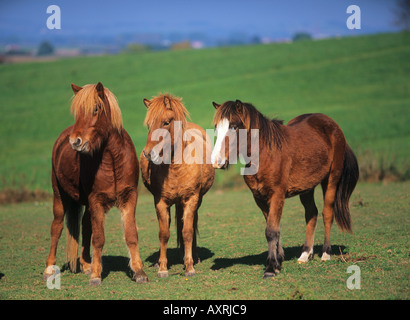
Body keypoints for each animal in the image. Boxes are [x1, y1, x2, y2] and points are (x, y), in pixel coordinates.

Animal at [43, 82, 148, 284]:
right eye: (78, 112)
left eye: (96, 109)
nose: (75, 141)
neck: (113, 160)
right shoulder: (96, 199)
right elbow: (98, 238)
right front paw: (96, 276)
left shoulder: (129, 197)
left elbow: (131, 234)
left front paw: (139, 272)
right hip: (60, 196)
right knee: (56, 227)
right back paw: (49, 269)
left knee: (85, 226)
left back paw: (85, 264)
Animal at [140, 93, 215, 278]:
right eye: (149, 124)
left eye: (166, 122)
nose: (148, 153)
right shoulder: (160, 202)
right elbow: (164, 234)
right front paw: (162, 268)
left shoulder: (191, 199)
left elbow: (187, 232)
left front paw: (189, 267)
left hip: (195, 201)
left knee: (190, 226)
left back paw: (193, 257)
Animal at [210, 100, 358, 278]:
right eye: (217, 127)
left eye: (234, 126)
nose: (216, 161)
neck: (266, 154)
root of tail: (333, 125)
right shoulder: (260, 198)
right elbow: (274, 229)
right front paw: (278, 261)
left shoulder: (277, 196)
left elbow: (271, 231)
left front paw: (270, 268)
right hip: (307, 188)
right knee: (311, 214)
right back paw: (305, 254)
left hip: (331, 180)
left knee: (327, 214)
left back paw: (325, 253)